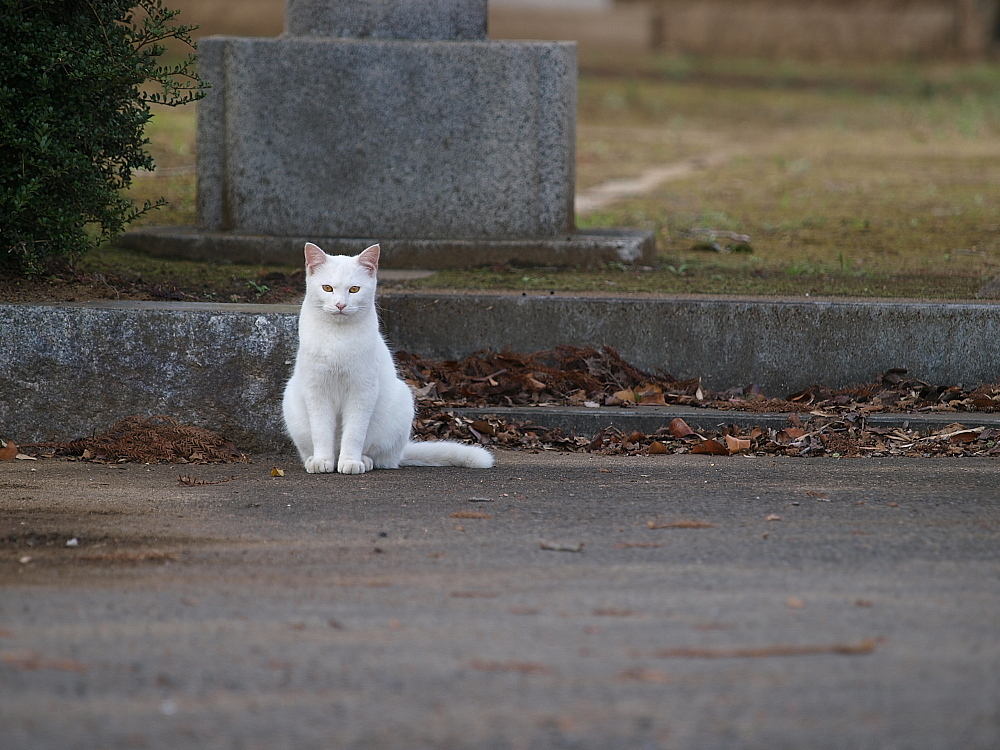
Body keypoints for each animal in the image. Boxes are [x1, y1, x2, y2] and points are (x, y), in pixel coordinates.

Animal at [284, 242, 494, 476]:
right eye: (327, 288)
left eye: (354, 289)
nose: (340, 305)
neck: (338, 337)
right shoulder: (316, 390)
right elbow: (321, 431)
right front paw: (322, 460)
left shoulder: (363, 391)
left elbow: (354, 432)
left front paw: (350, 462)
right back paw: (316, 459)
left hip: (401, 402)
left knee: (382, 458)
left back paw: (363, 460)